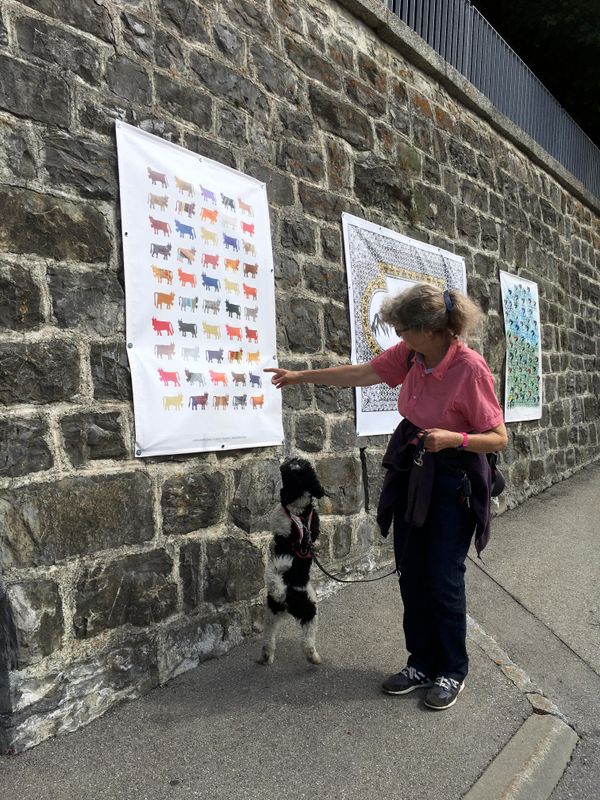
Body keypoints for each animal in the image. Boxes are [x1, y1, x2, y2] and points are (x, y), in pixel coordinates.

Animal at [258, 456, 326, 668]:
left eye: (293, 465)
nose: (288, 459)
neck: (299, 511)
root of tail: (283, 590)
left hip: (302, 611)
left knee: (301, 641)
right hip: (286, 612)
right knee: (274, 639)